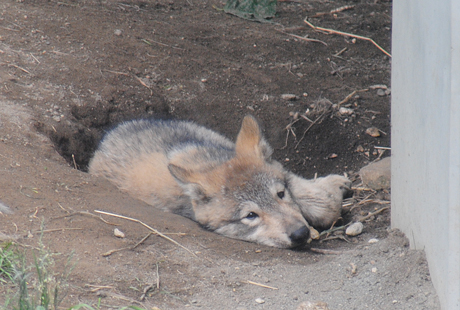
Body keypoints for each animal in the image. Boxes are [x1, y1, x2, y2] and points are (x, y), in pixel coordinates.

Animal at [89, 115, 348, 248]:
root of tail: (110, 136)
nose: (300, 233)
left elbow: (323, 204)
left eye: (281, 194)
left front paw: (334, 187)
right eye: (250, 216)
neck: (207, 160)